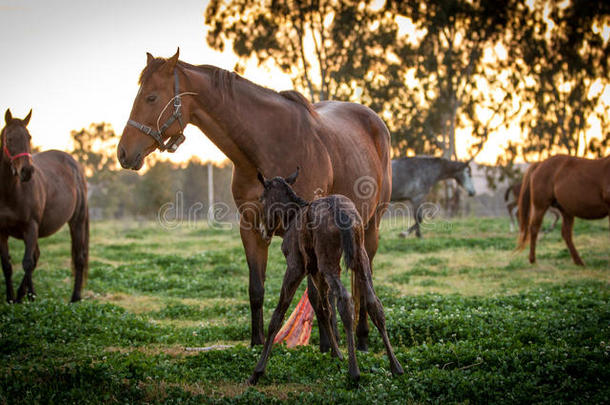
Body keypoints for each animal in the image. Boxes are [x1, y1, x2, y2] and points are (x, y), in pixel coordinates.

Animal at [0, 109, 89, 302]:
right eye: (9, 139)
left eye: (29, 137)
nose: (27, 171)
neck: (10, 192)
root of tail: (74, 164)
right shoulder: (1, 232)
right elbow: (7, 265)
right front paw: (11, 298)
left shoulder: (31, 226)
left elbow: (27, 263)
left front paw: (24, 298)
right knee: (36, 256)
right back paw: (28, 295)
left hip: (77, 222)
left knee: (79, 257)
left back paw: (75, 297)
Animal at [115, 48, 390, 350]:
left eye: (152, 97)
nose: (123, 152)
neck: (267, 146)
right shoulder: (251, 228)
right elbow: (256, 288)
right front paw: (257, 342)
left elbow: (316, 294)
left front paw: (328, 347)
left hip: (370, 228)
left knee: (361, 279)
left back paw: (360, 338)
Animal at [245, 169, 402, 384]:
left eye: (262, 199)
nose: (263, 230)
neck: (292, 216)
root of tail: (341, 212)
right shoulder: (315, 271)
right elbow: (323, 308)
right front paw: (337, 354)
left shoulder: (296, 267)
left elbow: (279, 314)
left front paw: (258, 371)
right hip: (360, 260)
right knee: (373, 303)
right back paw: (395, 367)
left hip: (330, 264)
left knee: (345, 301)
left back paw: (354, 371)